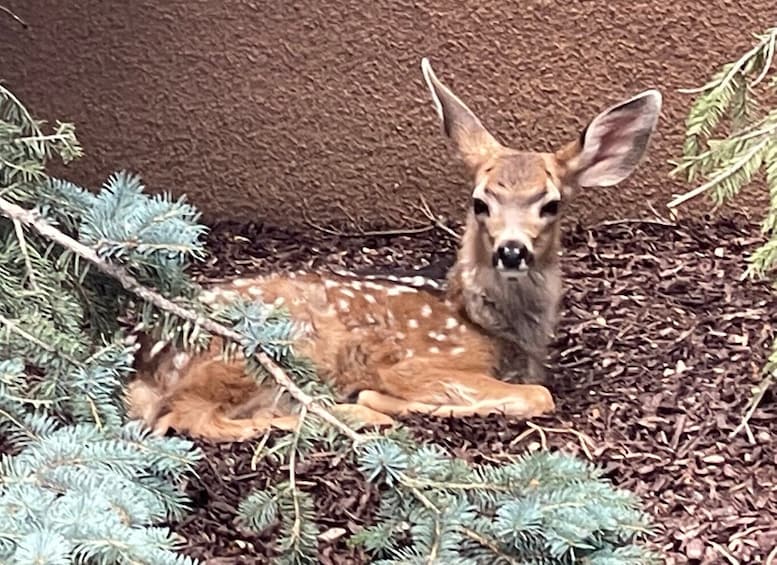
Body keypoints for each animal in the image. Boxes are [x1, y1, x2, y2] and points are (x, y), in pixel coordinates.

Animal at [126, 57, 660, 440]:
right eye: (480, 202)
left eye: (551, 204)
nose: (512, 251)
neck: (494, 329)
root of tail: (146, 361)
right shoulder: (417, 363)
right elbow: (536, 396)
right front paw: (385, 402)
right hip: (258, 350)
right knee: (188, 417)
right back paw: (352, 417)